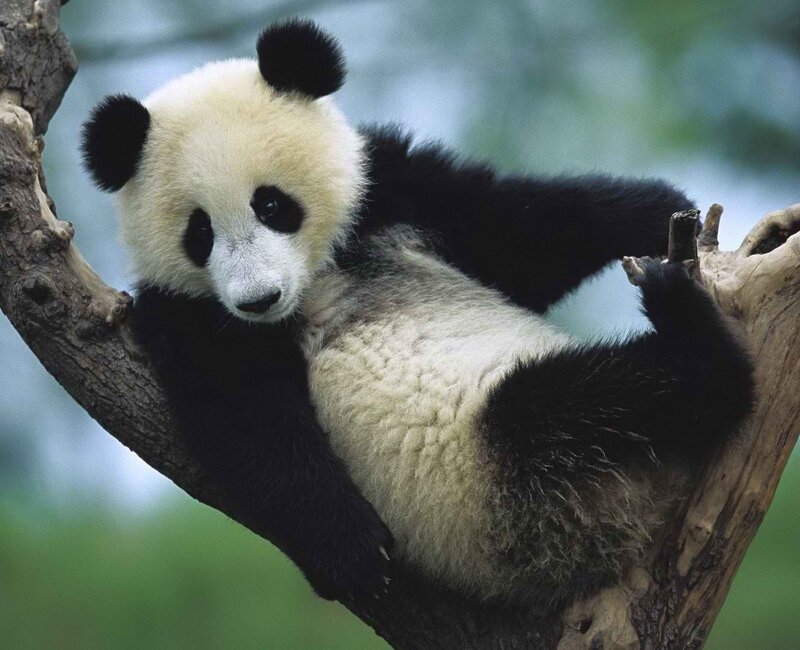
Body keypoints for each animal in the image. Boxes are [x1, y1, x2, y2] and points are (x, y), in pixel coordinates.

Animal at [81, 20, 754, 607]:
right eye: (200, 233)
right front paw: (351, 551)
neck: (317, 278)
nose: (258, 299)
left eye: (272, 205)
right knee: (580, 404)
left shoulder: (391, 193)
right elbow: (250, 421)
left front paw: (659, 207)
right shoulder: (189, 315)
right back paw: (689, 334)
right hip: (512, 486)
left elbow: (518, 230)